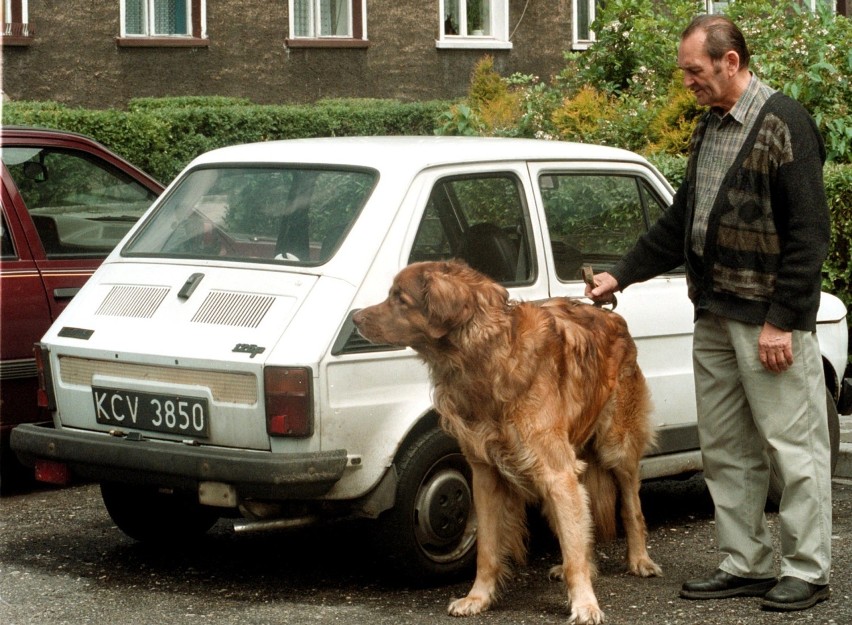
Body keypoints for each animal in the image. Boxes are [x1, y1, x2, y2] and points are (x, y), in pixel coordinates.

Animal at [352, 260, 660, 624]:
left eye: (400, 298)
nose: (355, 318)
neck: (486, 356)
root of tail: (610, 316)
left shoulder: (557, 472)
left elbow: (578, 540)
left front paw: (585, 604)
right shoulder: (485, 474)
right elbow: (487, 549)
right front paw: (478, 598)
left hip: (616, 446)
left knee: (631, 506)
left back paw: (639, 560)